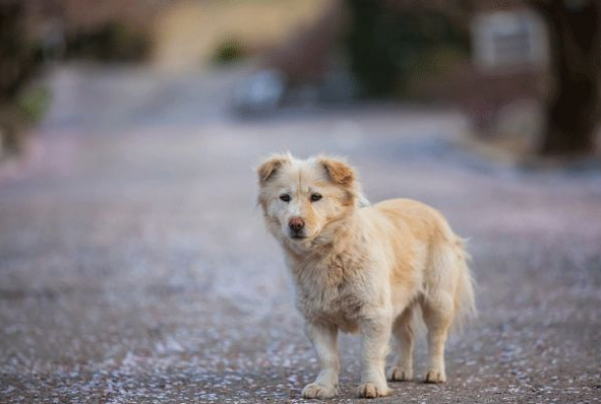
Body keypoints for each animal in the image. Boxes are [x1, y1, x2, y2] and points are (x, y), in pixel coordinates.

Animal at [255, 154, 476, 398]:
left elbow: (369, 354)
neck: (328, 253)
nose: (295, 224)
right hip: (397, 305)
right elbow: (327, 358)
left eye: (316, 197)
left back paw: (435, 372)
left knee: (436, 338)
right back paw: (401, 370)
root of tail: (428, 208)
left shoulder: (374, 313)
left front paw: (372, 385)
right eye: (284, 198)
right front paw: (324, 387)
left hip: (437, 300)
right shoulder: (317, 319)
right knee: (406, 335)